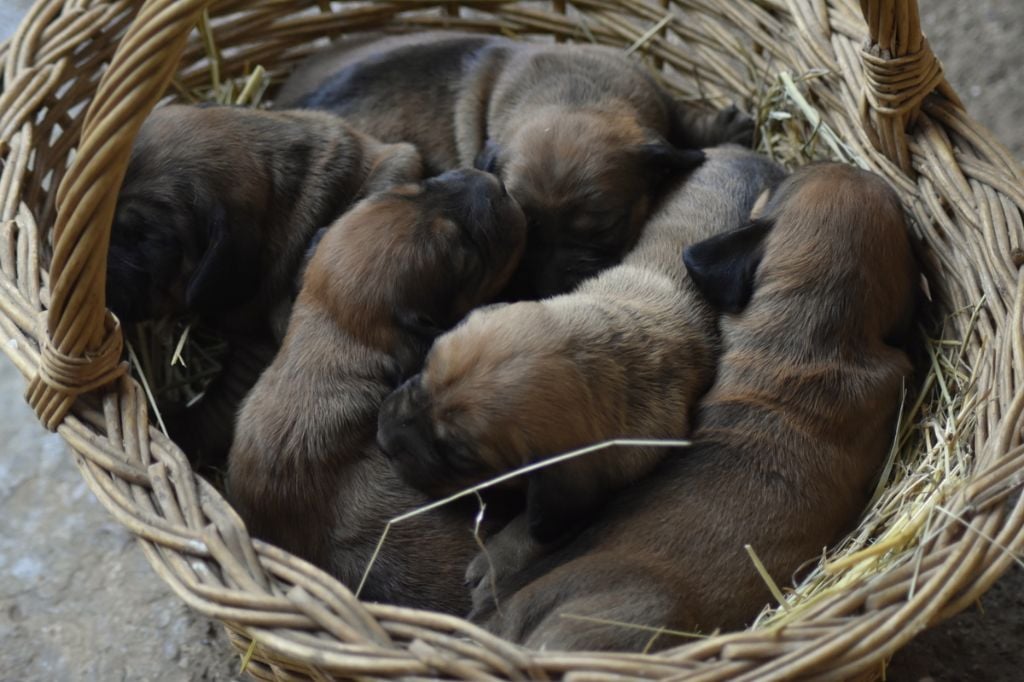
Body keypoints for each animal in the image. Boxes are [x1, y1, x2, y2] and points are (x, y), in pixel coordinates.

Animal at [280, 31, 753, 296]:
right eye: (526, 227)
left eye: (603, 228)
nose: (547, 289)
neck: (571, 94)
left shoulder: (653, 93)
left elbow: (684, 119)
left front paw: (726, 126)